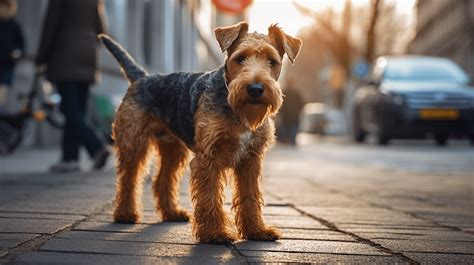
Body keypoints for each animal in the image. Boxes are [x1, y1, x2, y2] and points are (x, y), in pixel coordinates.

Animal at [98, 21, 302, 242]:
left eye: (272, 61)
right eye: (240, 58)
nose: (255, 89)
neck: (238, 112)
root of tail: (142, 77)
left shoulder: (251, 160)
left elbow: (250, 197)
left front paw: (256, 230)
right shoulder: (208, 157)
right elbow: (209, 197)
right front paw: (215, 233)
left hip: (173, 149)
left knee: (162, 180)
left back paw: (172, 212)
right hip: (134, 143)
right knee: (128, 179)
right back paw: (125, 214)